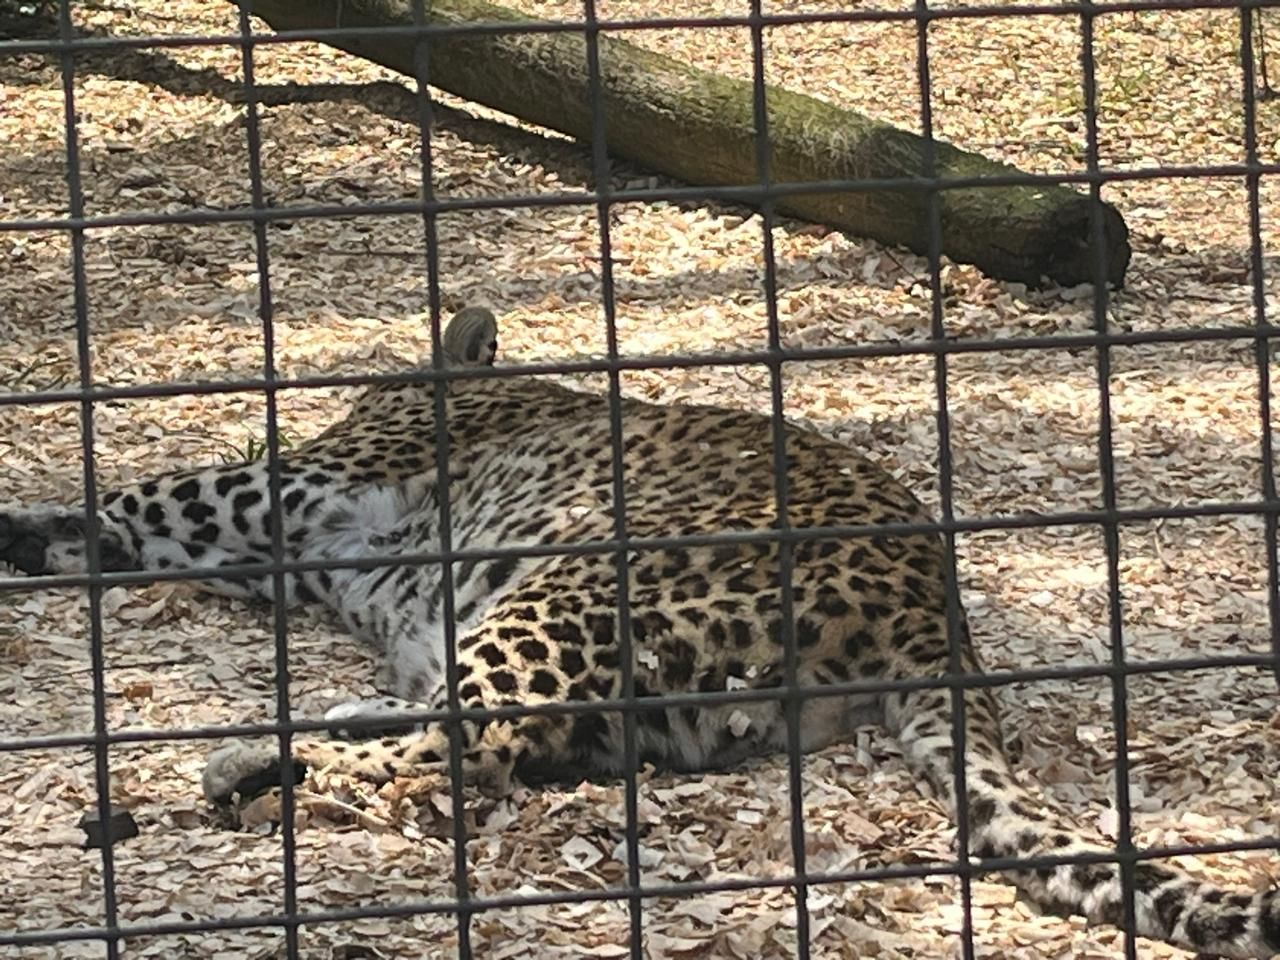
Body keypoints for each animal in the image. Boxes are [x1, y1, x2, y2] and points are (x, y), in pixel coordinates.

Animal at [2, 305, 1278, 957]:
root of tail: (932, 612)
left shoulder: (299, 488)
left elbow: (144, 495)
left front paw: (21, 524)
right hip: (650, 689)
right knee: (501, 744)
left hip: (570, 587)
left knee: (457, 750)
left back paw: (232, 766)